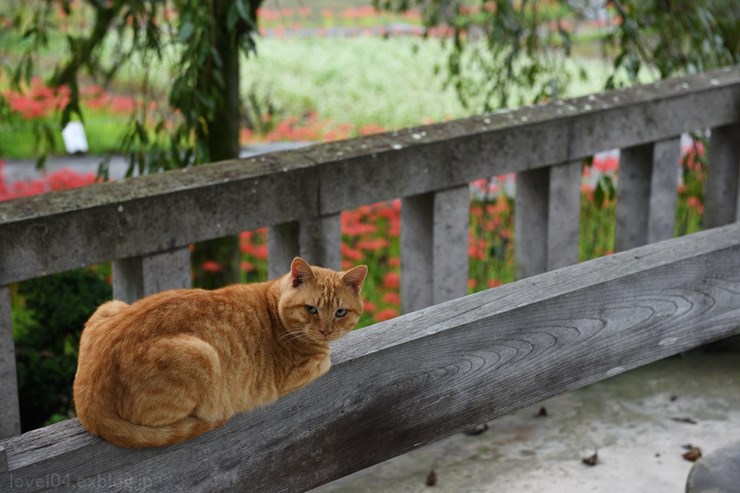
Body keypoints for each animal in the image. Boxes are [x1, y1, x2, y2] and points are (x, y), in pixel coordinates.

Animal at [72, 258, 368, 446]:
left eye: (340, 312)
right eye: (311, 309)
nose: (326, 331)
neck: (275, 307)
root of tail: (87, 400)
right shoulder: (306, 367)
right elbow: (325, 359)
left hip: (109, 306)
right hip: (201, 354)